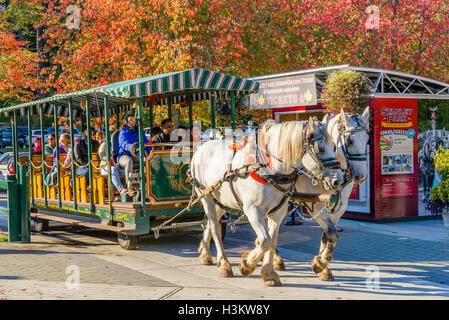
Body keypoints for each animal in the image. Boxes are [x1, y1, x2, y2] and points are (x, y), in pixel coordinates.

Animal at [189, 116, 344, 286]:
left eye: (334, 147)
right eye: (320, 149)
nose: (338, 180)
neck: (267, 168)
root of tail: (202, 147)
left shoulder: (280, 211)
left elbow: (273, 241)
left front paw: (269, 272)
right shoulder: (252, 210)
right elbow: (265, 241)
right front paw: (247, 265)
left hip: (221, 200)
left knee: (212, 223)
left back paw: (206, 254)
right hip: (206, 197)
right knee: (215, 228)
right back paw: (223, 264)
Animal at [272, 107, 372, 280]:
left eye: (367, 140)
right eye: (350, 141)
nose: (361, 176)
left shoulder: (339, 206)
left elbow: (329, 234)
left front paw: (321, 265)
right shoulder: (315, 205)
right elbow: (332, 233)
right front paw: (321, 264)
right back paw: (276, 258)